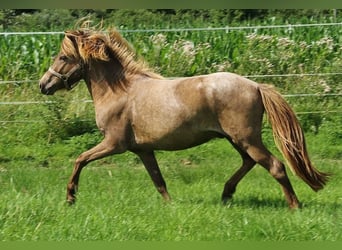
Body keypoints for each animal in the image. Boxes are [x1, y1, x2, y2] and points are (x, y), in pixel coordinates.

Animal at [38, 25, 330, 209]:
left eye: (63, 56)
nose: (44, 85)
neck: (119, 91)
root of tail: (257, 86)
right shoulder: (143, 150)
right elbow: (158, 180)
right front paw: (171, 206)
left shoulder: (114, 144)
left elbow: (80, 160)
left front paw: (70, 197)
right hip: (237, 139)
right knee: (249, 162)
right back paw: (226, 194)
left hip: (246, 138)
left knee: (275, 166)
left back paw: (294, 205)